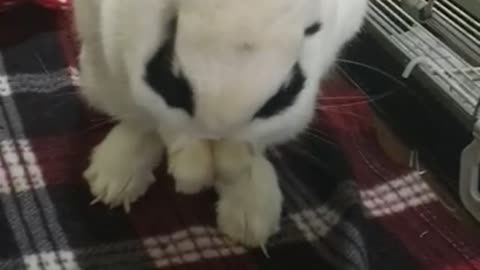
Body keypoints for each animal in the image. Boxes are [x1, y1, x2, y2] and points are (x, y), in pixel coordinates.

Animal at [74, 0, 368, 247]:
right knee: (135, 119)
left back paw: (251, 219)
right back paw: (114, 181)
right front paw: (191, 175)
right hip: (98, 67)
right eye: (171, 24)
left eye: (314, 28)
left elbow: (253, 143)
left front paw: (233, 171)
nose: (219, 126)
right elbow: (164, 123)